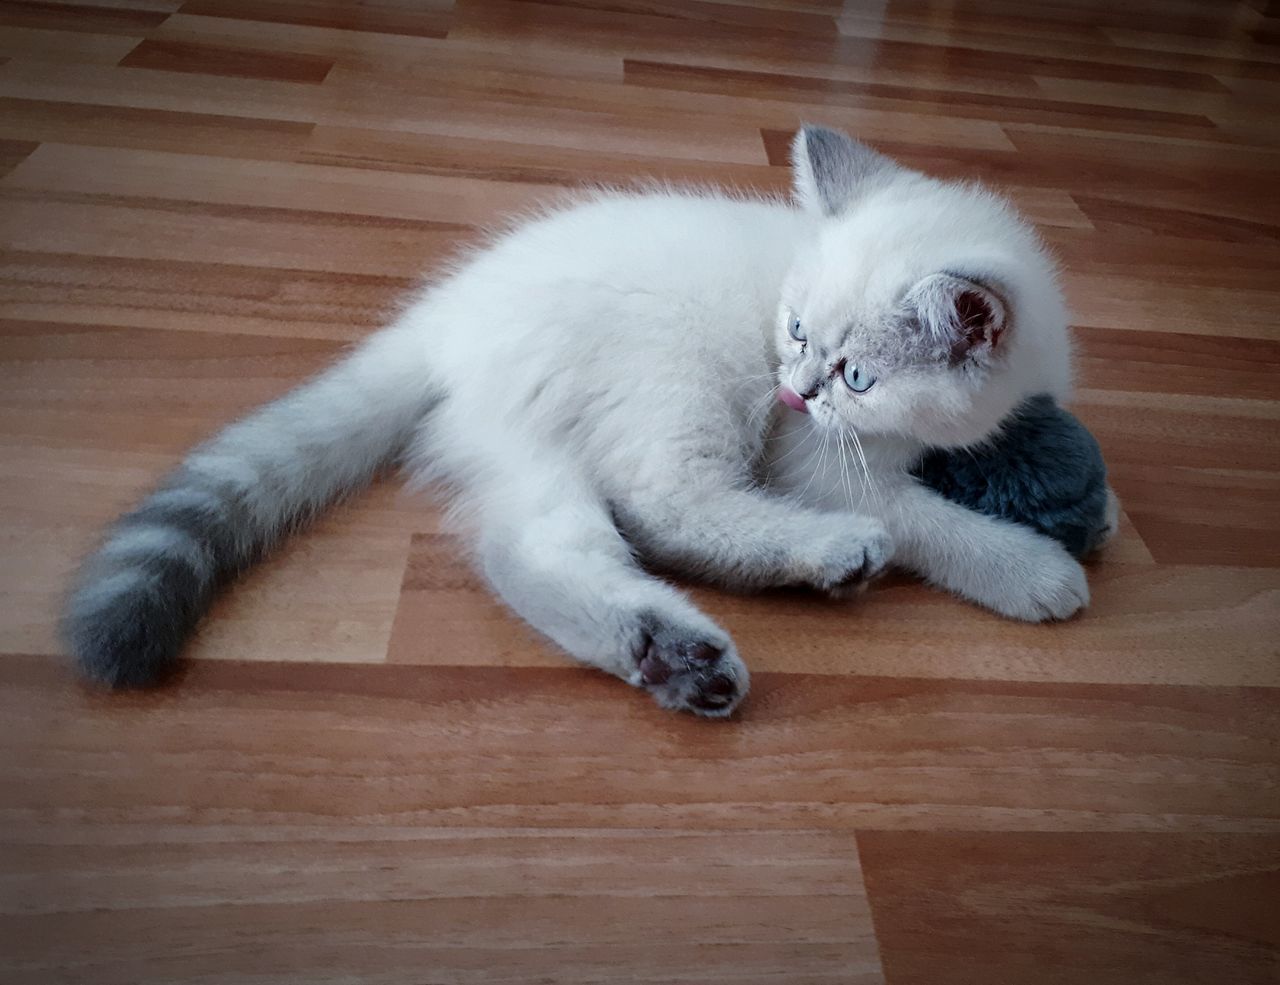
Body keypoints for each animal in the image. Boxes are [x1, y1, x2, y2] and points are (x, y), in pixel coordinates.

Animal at [64, 126, 1095, 716]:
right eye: (797, 330)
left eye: (855, 372)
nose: (795, 388)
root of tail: (444, 319)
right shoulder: (818, 461)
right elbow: (929, 521)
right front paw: (1035, 569)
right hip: (673, 372)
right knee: (661, 500)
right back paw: (828, 554)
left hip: (521, 443)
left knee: (532, 548)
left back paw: (665, 653)